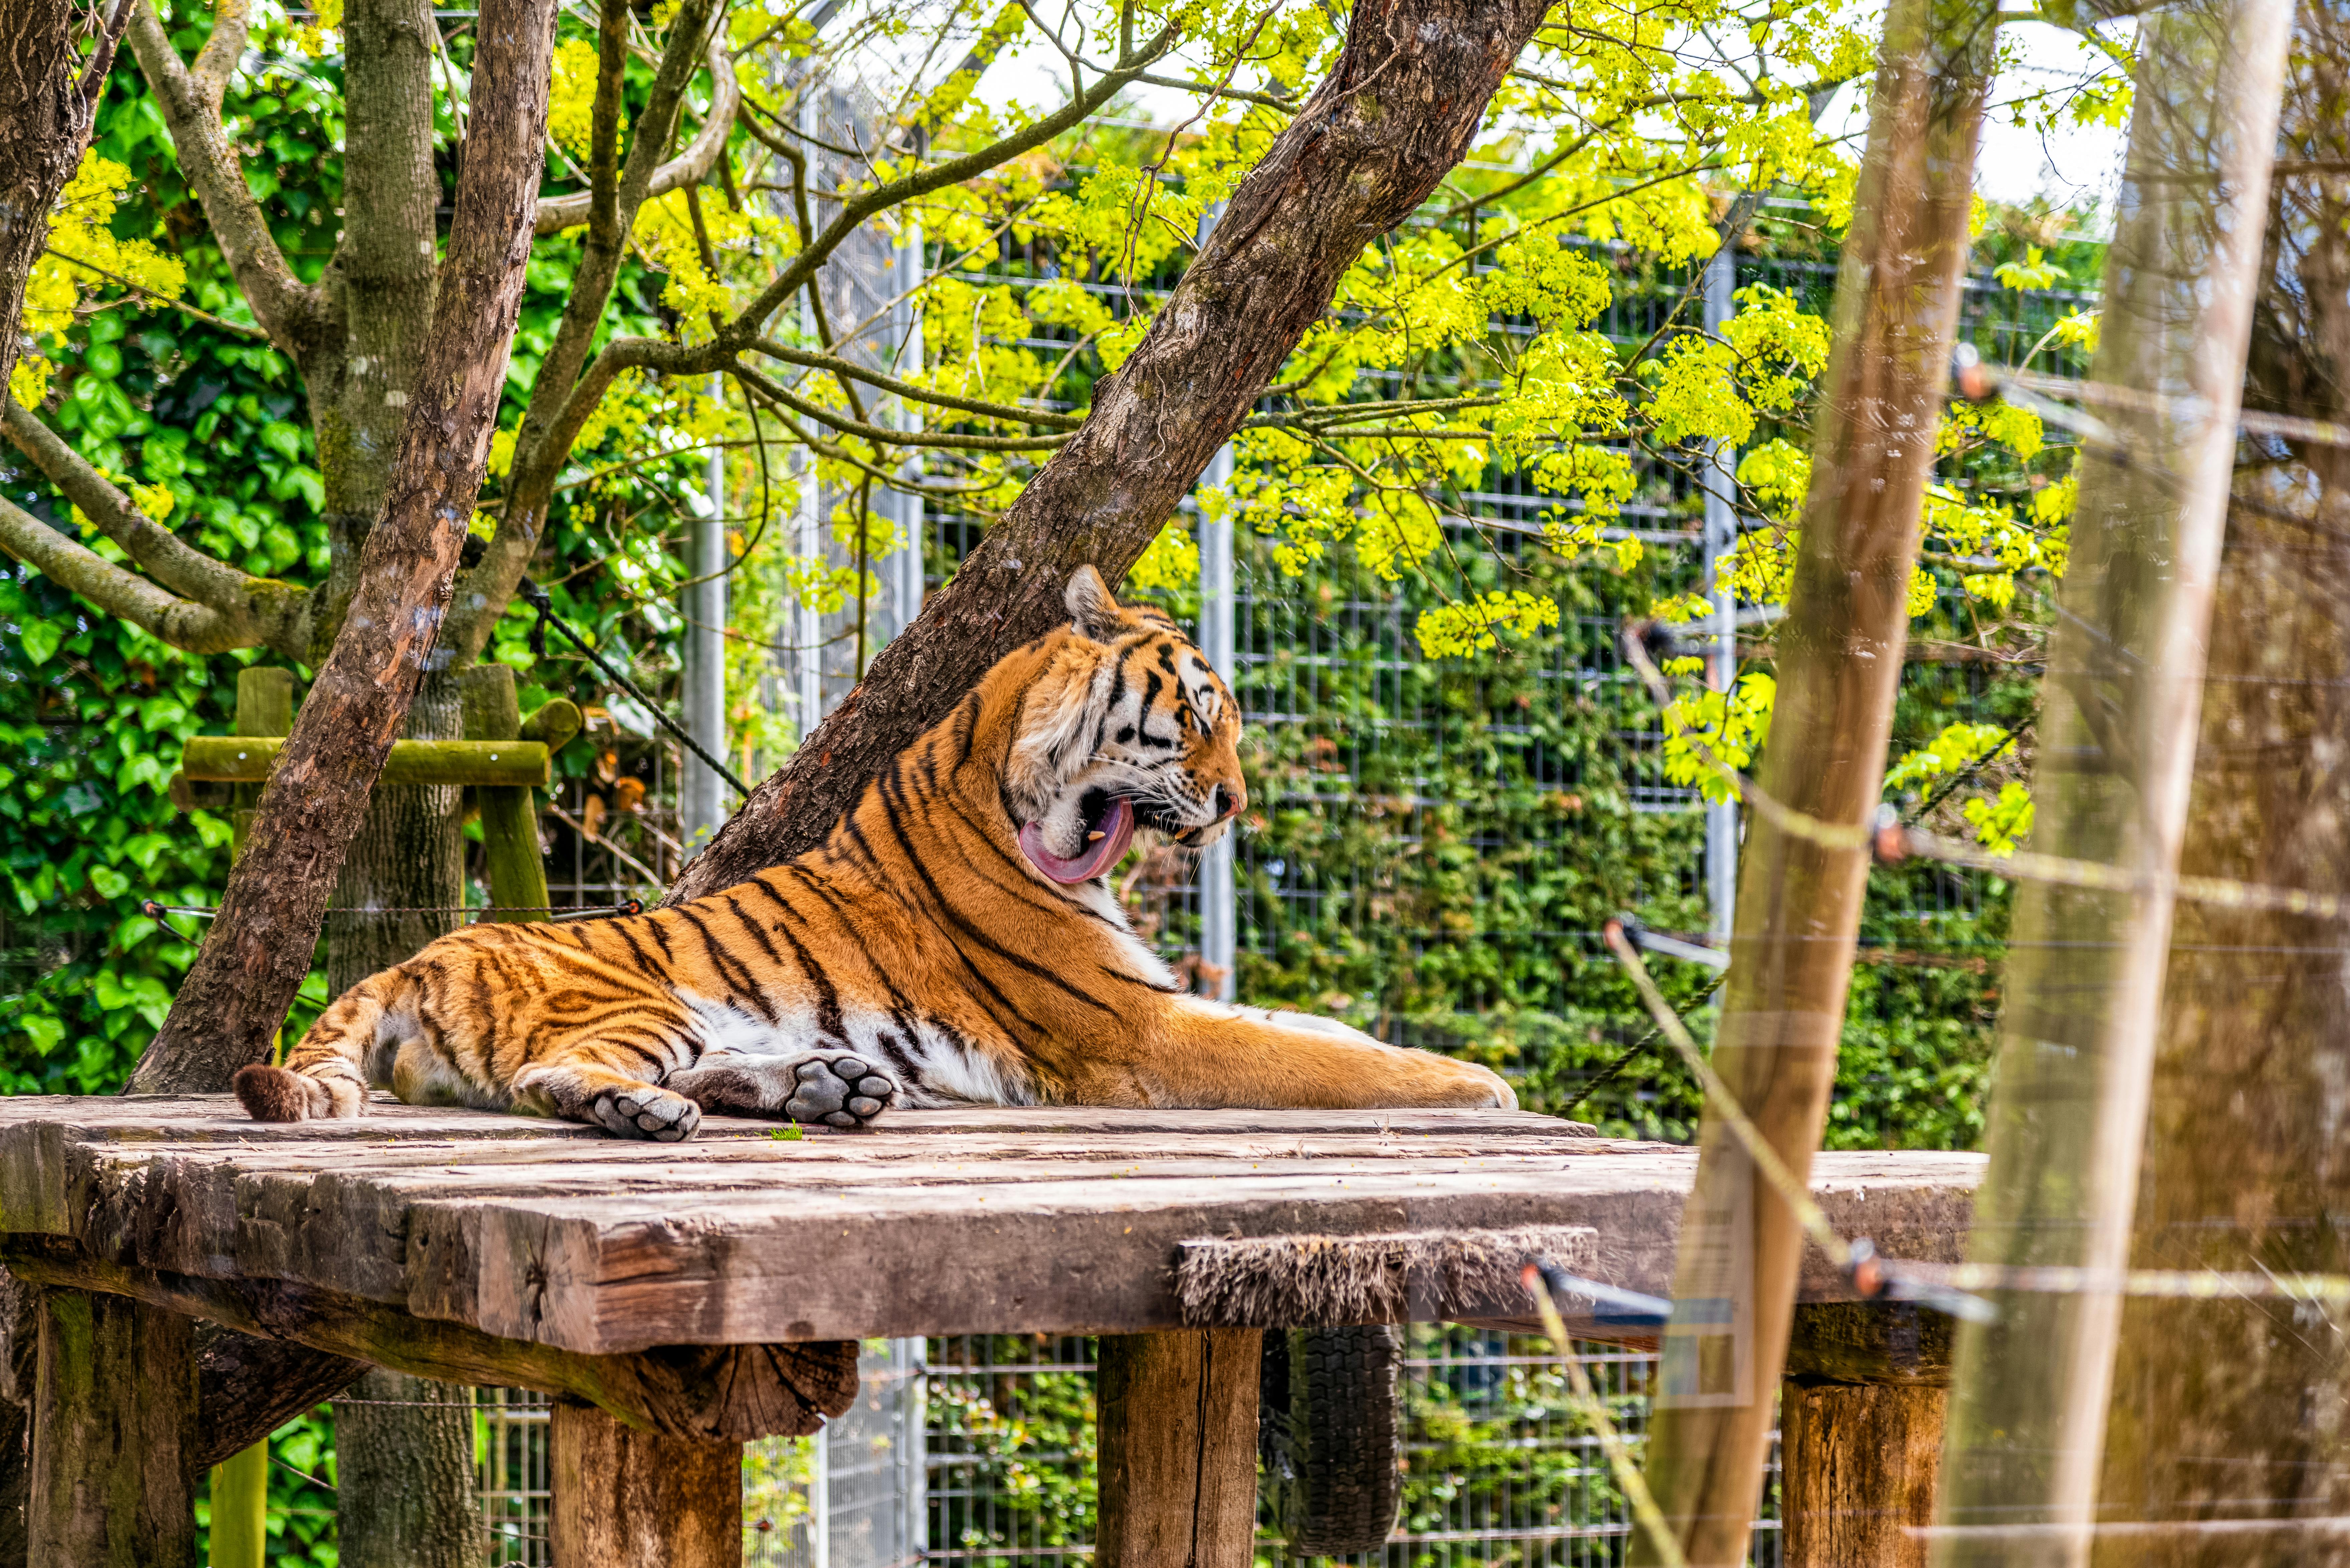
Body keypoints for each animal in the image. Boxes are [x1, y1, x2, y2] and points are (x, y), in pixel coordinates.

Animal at [238, 564, 1513, 1142]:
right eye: (1200, 716)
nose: (1237, 801)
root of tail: (416, 955)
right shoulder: (1132, 1029)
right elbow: (1324, 1059)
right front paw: (1480, 1085)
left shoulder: (1151, 1000)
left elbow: (1324, 1030)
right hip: (637, 997)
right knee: (555, 1075)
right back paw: (647, 1111)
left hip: (701, 1017)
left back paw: (827, 1083)